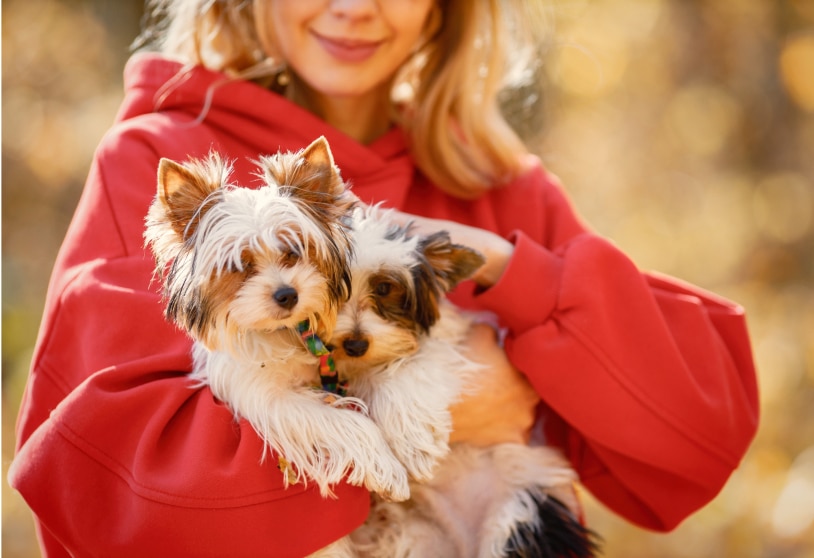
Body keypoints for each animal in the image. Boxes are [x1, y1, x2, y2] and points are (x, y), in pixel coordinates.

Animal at [143, 140, 412, 516]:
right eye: (238, 265)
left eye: (294, 251)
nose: (287, 294)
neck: (281, 332)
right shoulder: (268, 399)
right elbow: (345, 420)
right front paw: (388, 469)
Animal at [328, 208, 604, 556]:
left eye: (384, 288)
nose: (355, 345)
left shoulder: (454, 343)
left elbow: (419, 360)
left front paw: (411, 439)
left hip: (518, 511)